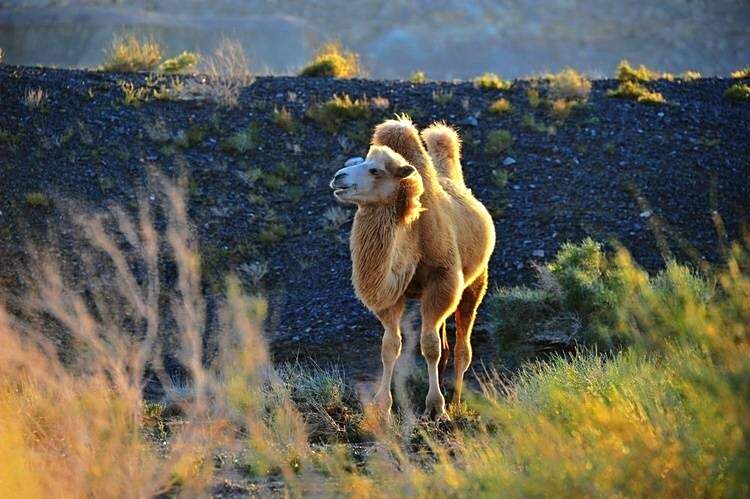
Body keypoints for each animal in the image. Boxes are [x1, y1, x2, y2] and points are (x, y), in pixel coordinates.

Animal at [330, 118, 496, 422]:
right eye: (358, 161)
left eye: (375, 170)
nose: (338, 177)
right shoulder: (393, 293)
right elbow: (390, 346)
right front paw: (382, 406)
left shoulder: (442, 281)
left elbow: (428, 345)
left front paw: (437, 407)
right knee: (445, 344)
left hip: (476, 281)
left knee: (461, 347)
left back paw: (456, 401)